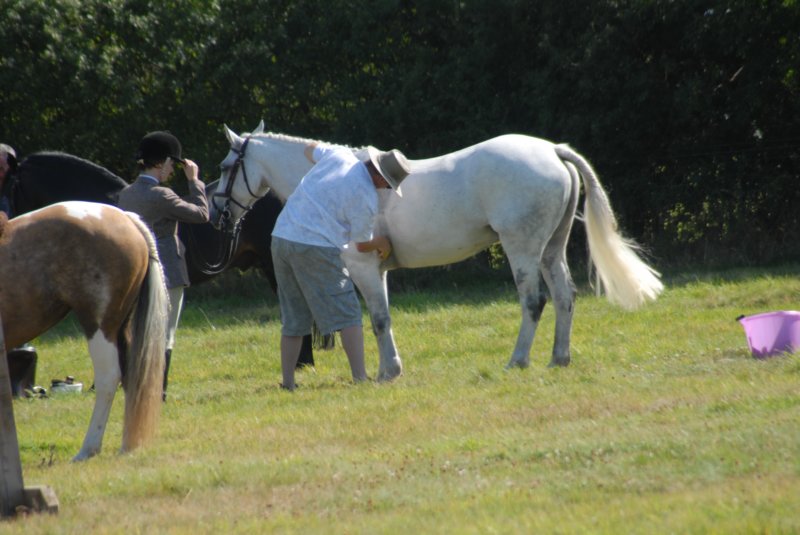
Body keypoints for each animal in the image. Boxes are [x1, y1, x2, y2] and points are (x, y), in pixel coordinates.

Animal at [208, 122, 664, 382]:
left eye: (225, 167)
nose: (217, 211)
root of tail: (552, 149)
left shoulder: (362, 268)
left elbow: (377, 320)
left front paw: (385, 373)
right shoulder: (379, 271)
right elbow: (381, 319)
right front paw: (390, 368)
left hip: (522, 249)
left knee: (534, 301)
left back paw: (517, 360)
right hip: (551, 249)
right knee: (566, 298)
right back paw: (558, 358)